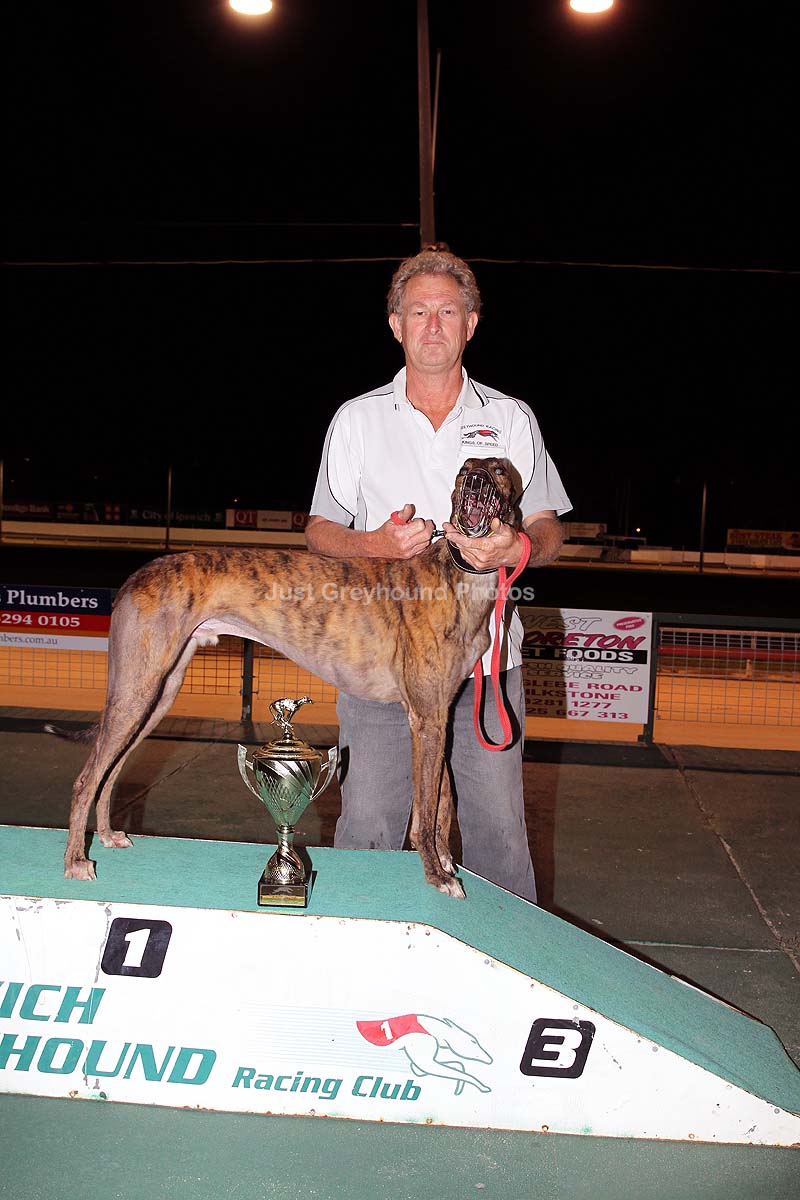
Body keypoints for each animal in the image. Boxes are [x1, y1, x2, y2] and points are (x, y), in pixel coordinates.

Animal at [57, 457, 518, 897]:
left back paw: (108, 836)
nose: (475, 480)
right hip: (137, 688)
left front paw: (446, 865)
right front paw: (436, 875)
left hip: (157, 694)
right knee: (85, 778)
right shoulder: (424, 716)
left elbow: (442, 801)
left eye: (498, 469)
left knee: (111, 769)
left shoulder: (439, 713)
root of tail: (136, 576)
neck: (455, 577)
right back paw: (76, 861)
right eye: (463, 472)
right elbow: (425, 808)